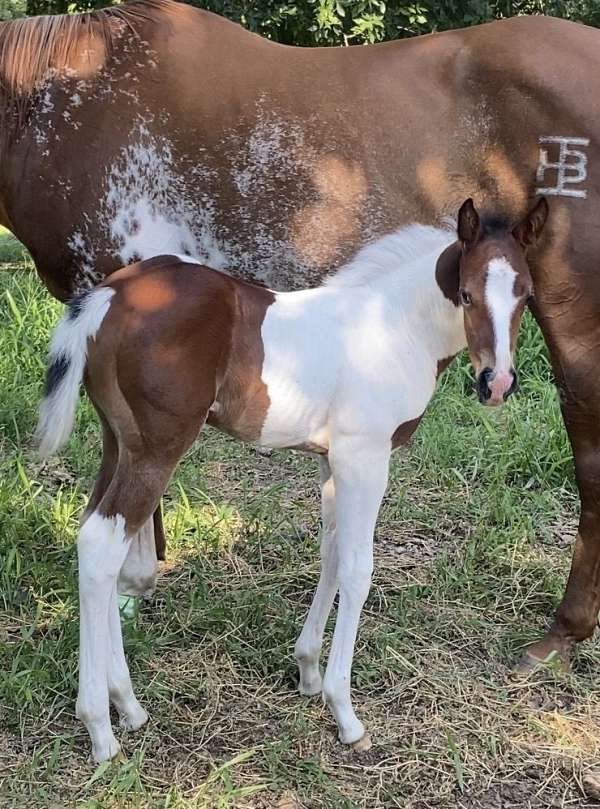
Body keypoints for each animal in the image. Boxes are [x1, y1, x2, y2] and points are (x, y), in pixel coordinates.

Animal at [35, 197, 548, 762]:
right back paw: (100, 730)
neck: (393, 328)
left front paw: (307, 672)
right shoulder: (365, 457)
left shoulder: (332, 462)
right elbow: (357, 569)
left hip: (118, 442)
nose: (496, 383)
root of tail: (108, 295)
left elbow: (330, 554)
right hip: (156, 449)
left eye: (525, 294)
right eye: (466, 293)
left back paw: (127, 706)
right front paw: (345, 713)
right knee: (103, 546)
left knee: (96, 538)